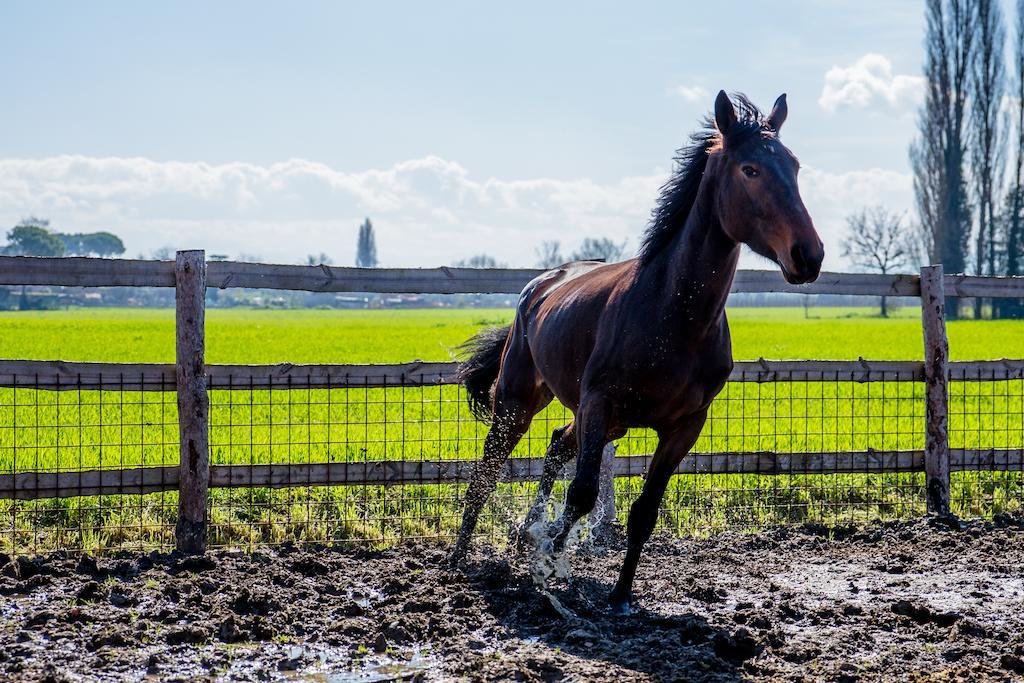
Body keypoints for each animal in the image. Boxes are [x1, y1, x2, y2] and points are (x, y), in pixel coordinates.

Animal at [448, 90, 823, 614]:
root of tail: (539, 285)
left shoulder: (683, 427)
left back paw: (525, 535)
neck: (672, 313)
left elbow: (644, 511)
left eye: (794, 165)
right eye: (750, 169)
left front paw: (620, 595)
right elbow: (583, 495)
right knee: (488, 470)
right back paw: (461, 555)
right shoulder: (599, 403)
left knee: (556, 446)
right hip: (519, 401)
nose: (808, 255)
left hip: (602, 419)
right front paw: (550, 562)